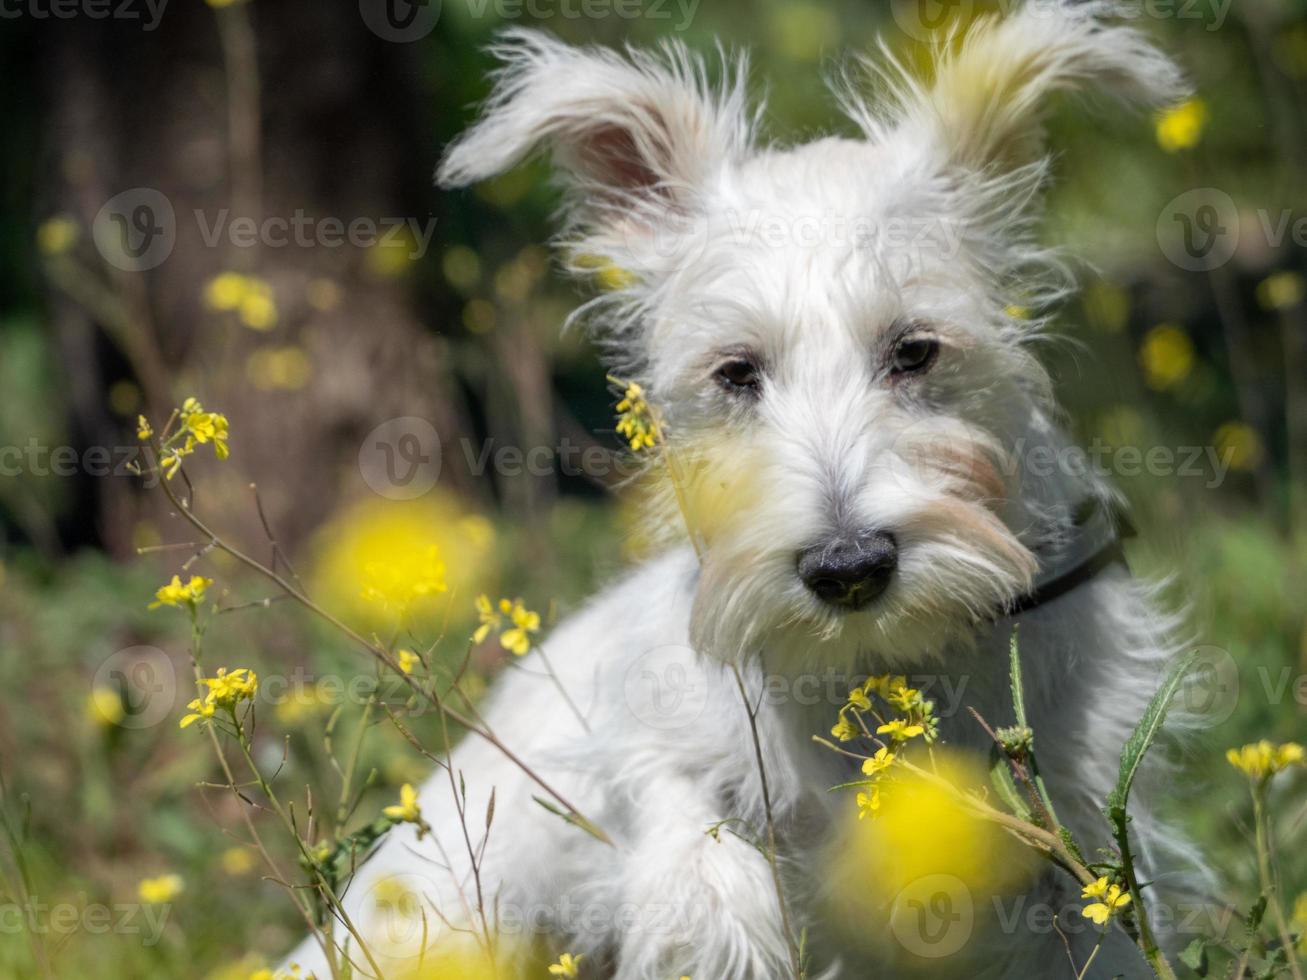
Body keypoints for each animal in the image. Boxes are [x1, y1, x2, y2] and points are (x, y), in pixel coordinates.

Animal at [291, 3, 1207, 977]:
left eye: (915, 350)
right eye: (735, 372)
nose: (848, 568)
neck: (870, 673)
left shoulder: (1071, 834)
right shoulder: (663, 766)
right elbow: (705, 872)